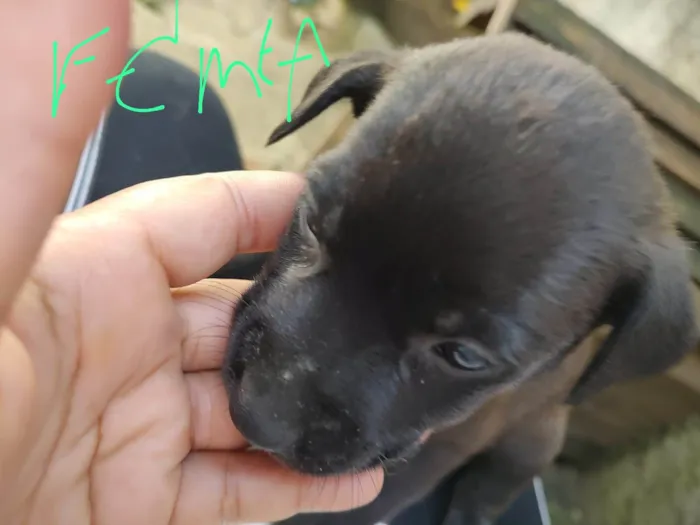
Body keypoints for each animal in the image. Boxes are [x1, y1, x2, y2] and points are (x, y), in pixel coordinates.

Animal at [223, 33, 700, 524]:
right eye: (312, 226)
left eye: (462, 356)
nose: (257, 413)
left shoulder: (442, 448)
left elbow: (369, 503)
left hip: (527, 446)